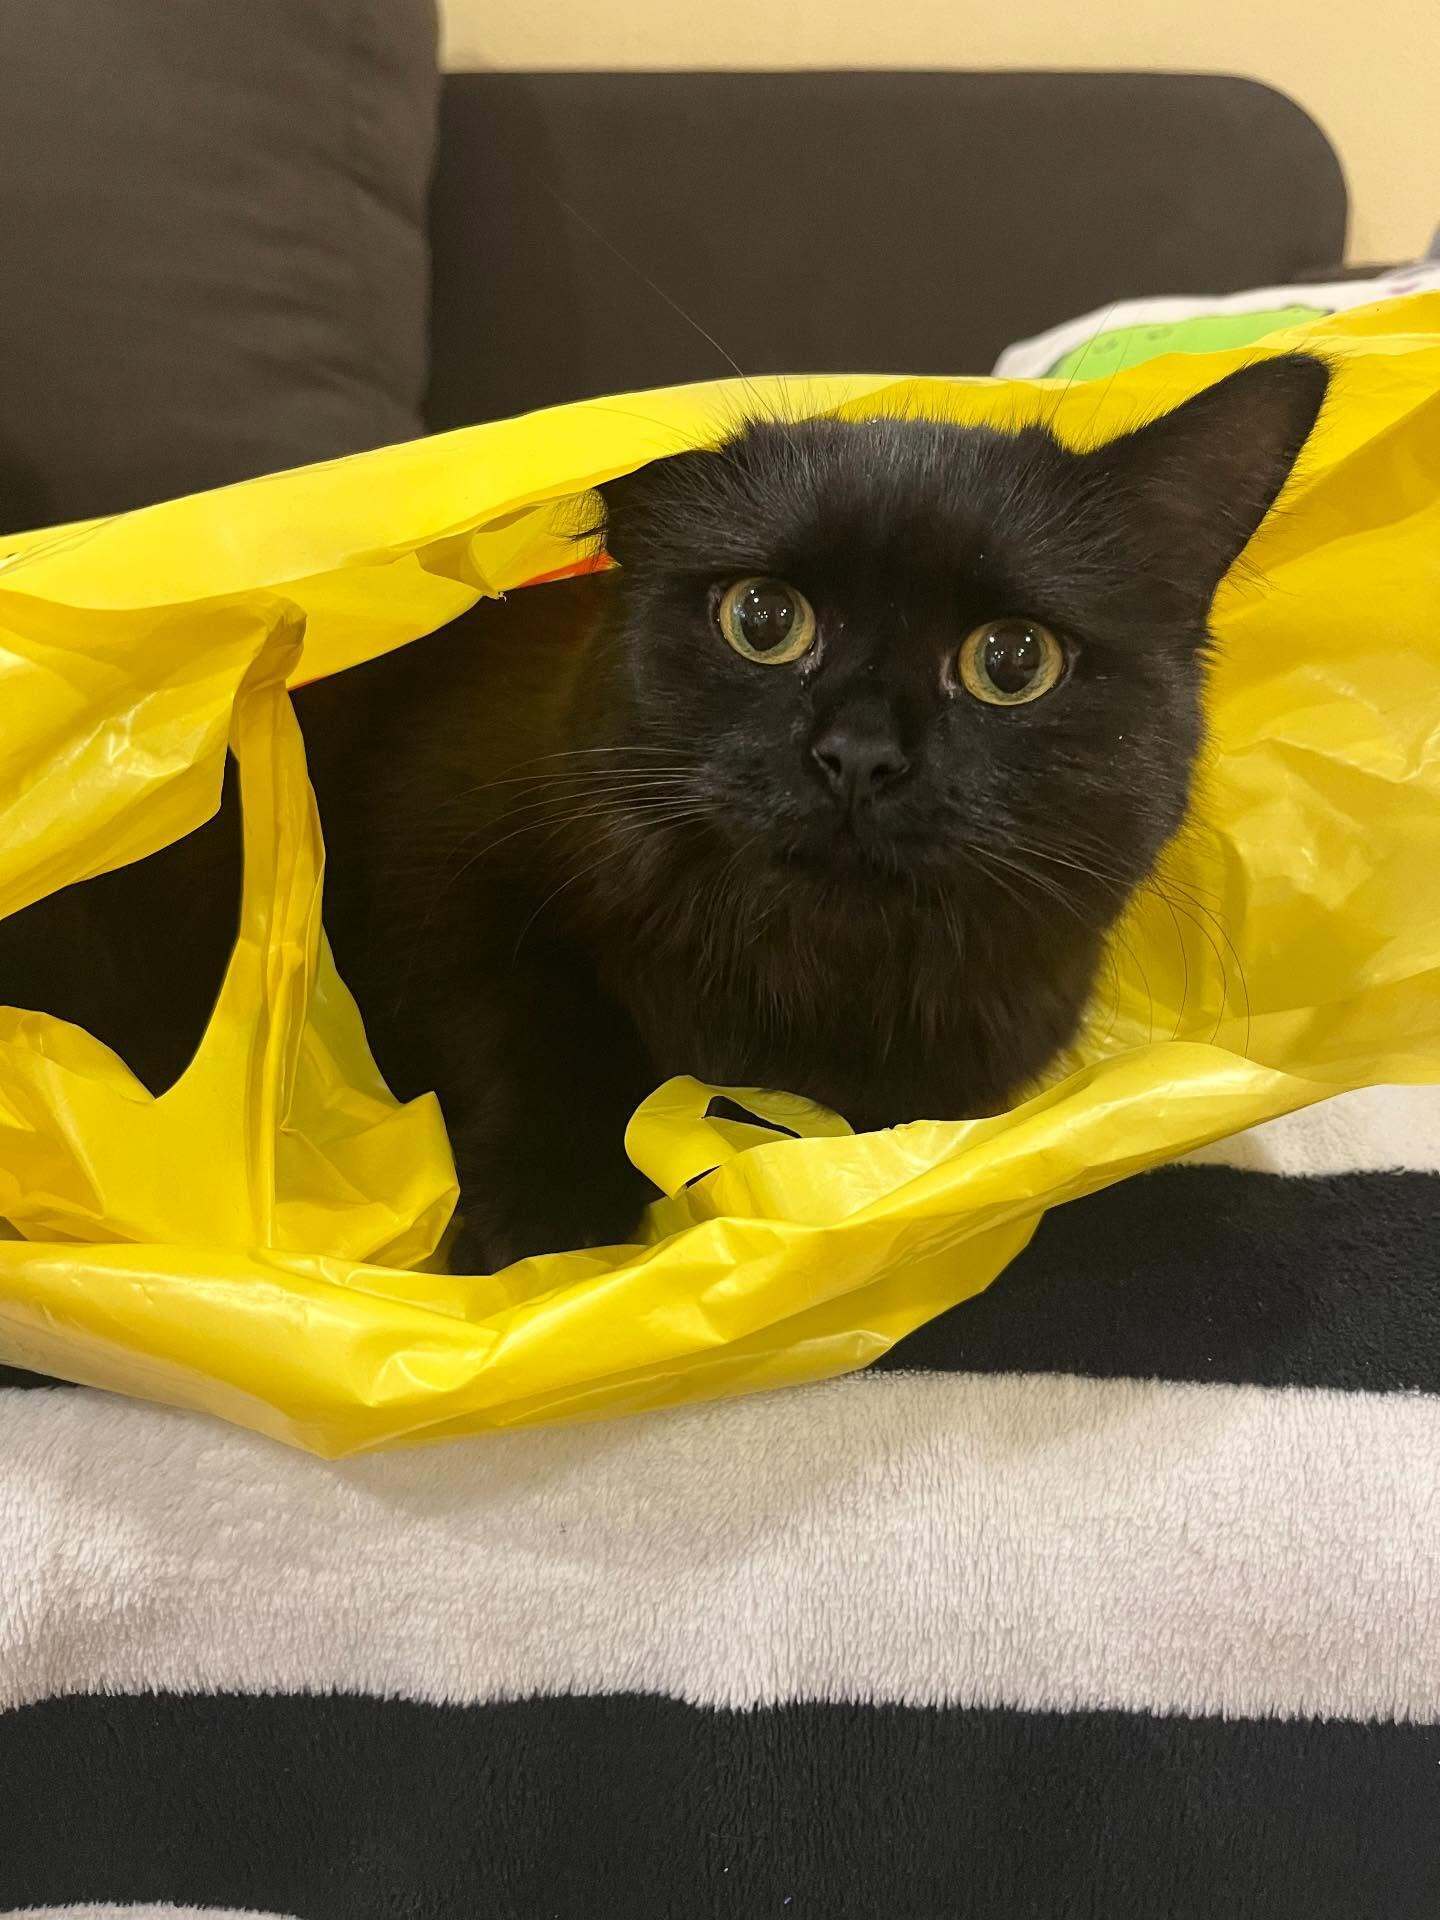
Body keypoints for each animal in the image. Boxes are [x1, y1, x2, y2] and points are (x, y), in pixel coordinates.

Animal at [0, 354, 1328, 1273]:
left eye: (1012, 661)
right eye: (762, 619)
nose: (857, 757)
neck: (805, 985)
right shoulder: (443, 871)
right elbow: (537, 1026)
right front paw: (546, 1231)